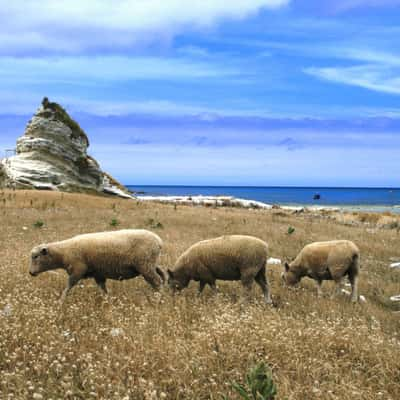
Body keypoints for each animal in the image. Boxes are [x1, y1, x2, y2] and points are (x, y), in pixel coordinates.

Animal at [29, 230, 164, 302]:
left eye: (35, 256)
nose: (31, 273)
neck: (63, 252)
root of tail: (158, 241)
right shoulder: (98, 274)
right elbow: (103, 289)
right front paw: (107, 301)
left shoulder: (77, 270)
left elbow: (68, 286)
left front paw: (61, 301)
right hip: (150, 264)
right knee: (161, 275)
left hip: (145, 265)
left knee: (157, 281)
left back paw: (158, 298)